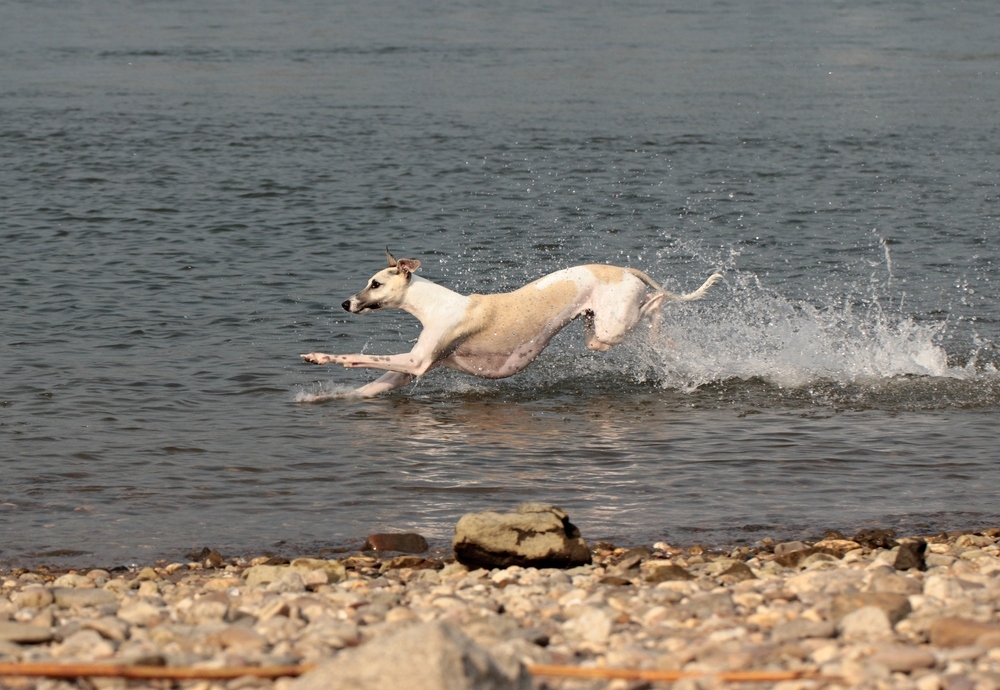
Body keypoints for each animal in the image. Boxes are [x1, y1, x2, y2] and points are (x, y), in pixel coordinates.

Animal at [300, 250, 724, 396]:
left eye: (375, 283)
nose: (346, 303)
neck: (434, 305)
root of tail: (625, 270)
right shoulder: (411, 370)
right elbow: (370, 388)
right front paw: (323, 395)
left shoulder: (417, 362)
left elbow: (359, 357)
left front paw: (321, 357)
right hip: (596, 330)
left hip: (612, 327)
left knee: (656, 302)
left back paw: (662, 320)